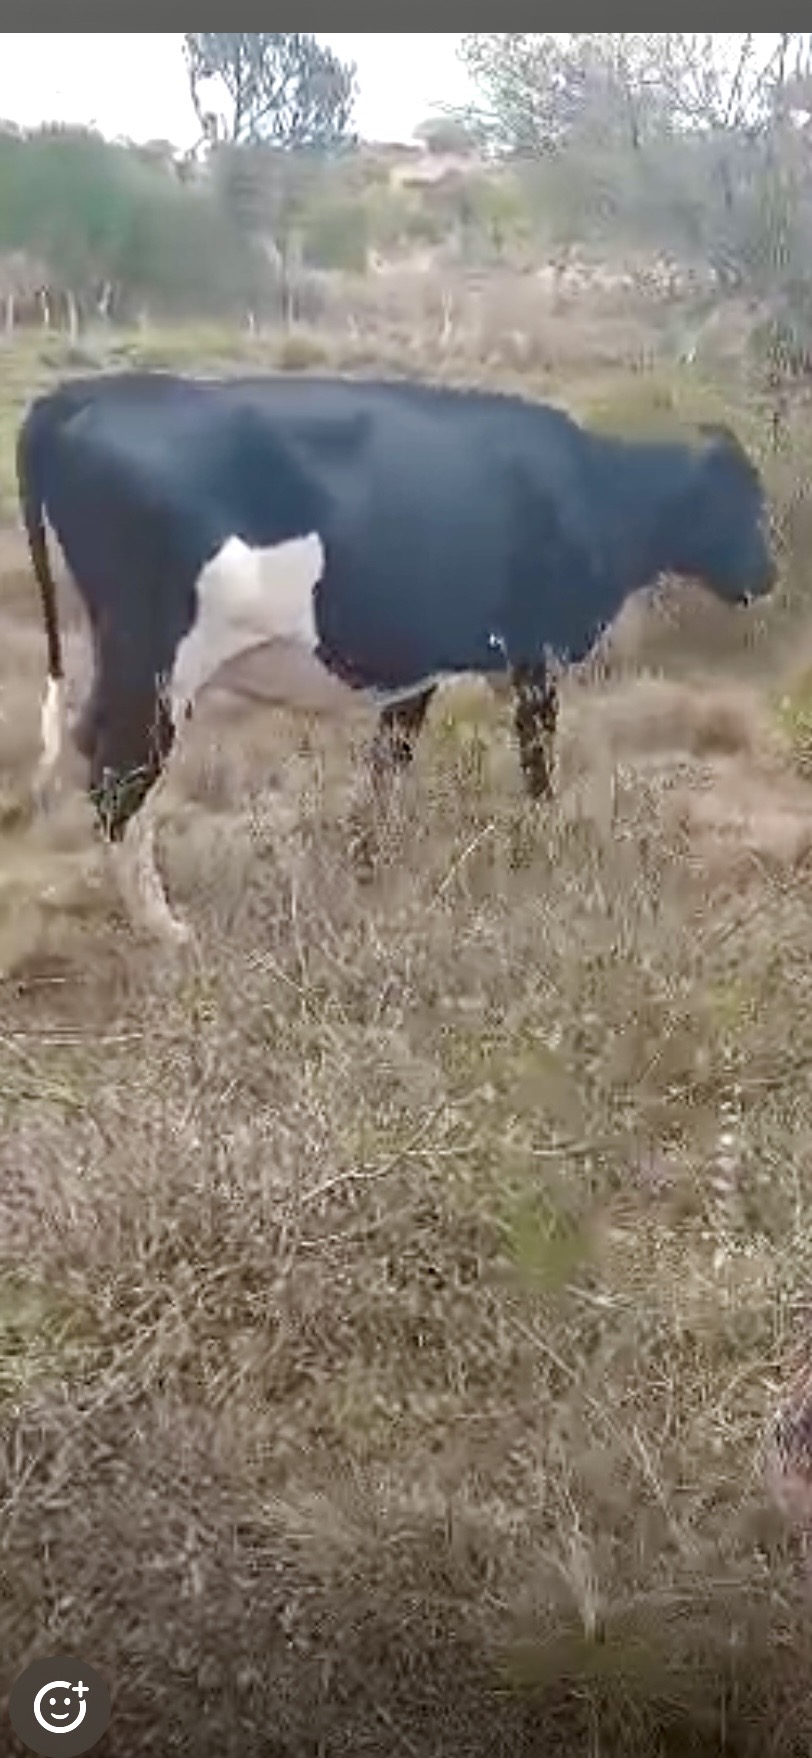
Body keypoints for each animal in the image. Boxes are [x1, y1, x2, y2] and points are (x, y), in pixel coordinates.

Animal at [15, 369, 776, 945]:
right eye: (744, 500)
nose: (769, 575)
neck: (592, 489)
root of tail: (87, 391)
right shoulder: (532, 650)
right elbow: (536, 755)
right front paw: (544, 842)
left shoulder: (418, 668)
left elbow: (390, 761)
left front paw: (372, 862)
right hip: (156, 658)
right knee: (118, 773)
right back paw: (163, 928)